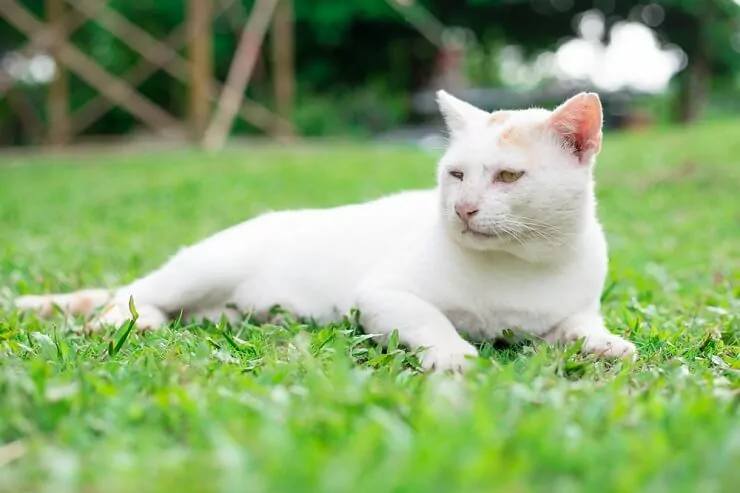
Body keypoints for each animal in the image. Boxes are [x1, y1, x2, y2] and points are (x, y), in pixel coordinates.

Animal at [11, 90, 636, 370]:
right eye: (456, 174)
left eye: (508, 176)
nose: (463, 209)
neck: (519, 264)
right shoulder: (382, 296)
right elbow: (430, 321)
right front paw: (453, 354)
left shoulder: (569, 309)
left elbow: (579, 327)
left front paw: (607, 343)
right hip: (205, 267)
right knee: (136, 293)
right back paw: (120, 322)